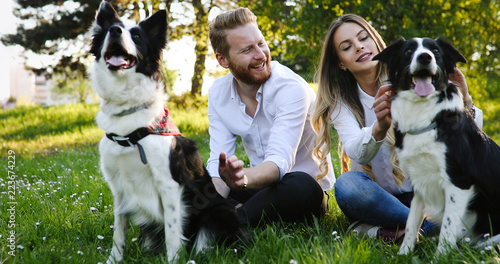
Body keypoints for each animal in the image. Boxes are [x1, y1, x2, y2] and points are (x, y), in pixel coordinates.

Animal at [89, 1, 247, 262]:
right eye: (111, 29)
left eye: (136, 36)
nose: (114, 31)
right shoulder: (119, 188)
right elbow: (119, 232)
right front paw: (114, 259)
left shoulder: (169, 184)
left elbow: (173, 232)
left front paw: (173, 259)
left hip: (219, 212)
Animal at [374, 38, 500, 255]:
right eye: (408, 51)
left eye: (436, 51)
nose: (425, 57)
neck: (423, 113)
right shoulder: (418, 180)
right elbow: (411, 221)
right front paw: (404, 253)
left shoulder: (459, 182)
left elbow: (448, 227)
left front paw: (440, 256)